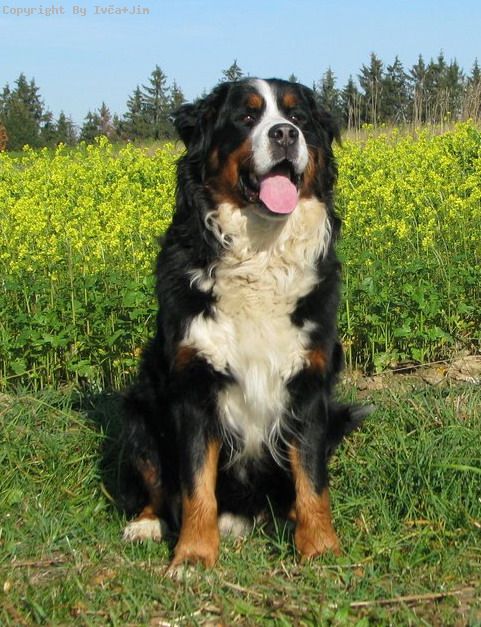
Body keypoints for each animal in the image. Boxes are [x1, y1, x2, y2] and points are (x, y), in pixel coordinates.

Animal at [122, 78, 369, 569]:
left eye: (298, 117)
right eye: (247, 117)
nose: (285, 134)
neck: (261, 255)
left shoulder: (308, 386)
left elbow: (312, 479)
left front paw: (320, 546)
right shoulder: (194, 388)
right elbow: (195, 485)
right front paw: (193, 555)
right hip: (137, 410)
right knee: (159, 483)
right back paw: (146, 523)